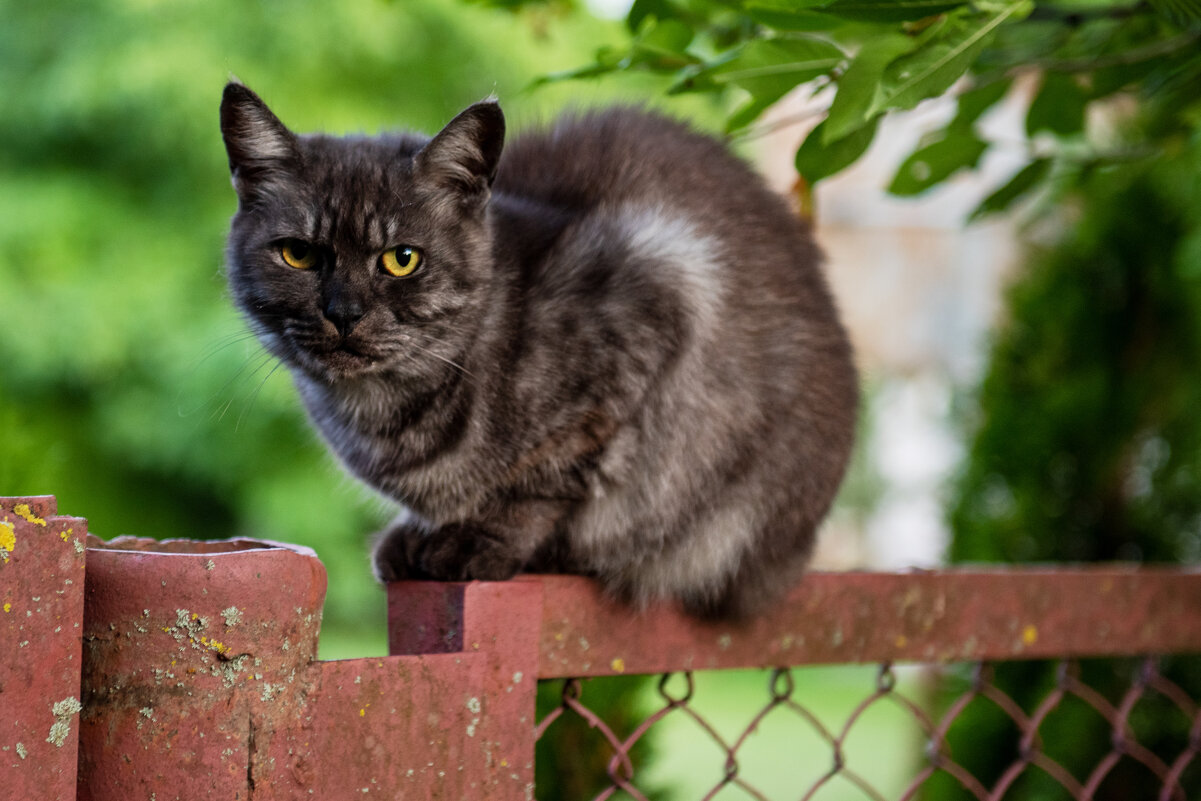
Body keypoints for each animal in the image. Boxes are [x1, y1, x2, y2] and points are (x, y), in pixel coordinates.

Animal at [216, 81, 855, 619]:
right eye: (298, 253)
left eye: (403, 259)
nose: (344, 313)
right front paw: (416, 532)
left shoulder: (656, 299)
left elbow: (547, 481)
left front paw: (483, 539)